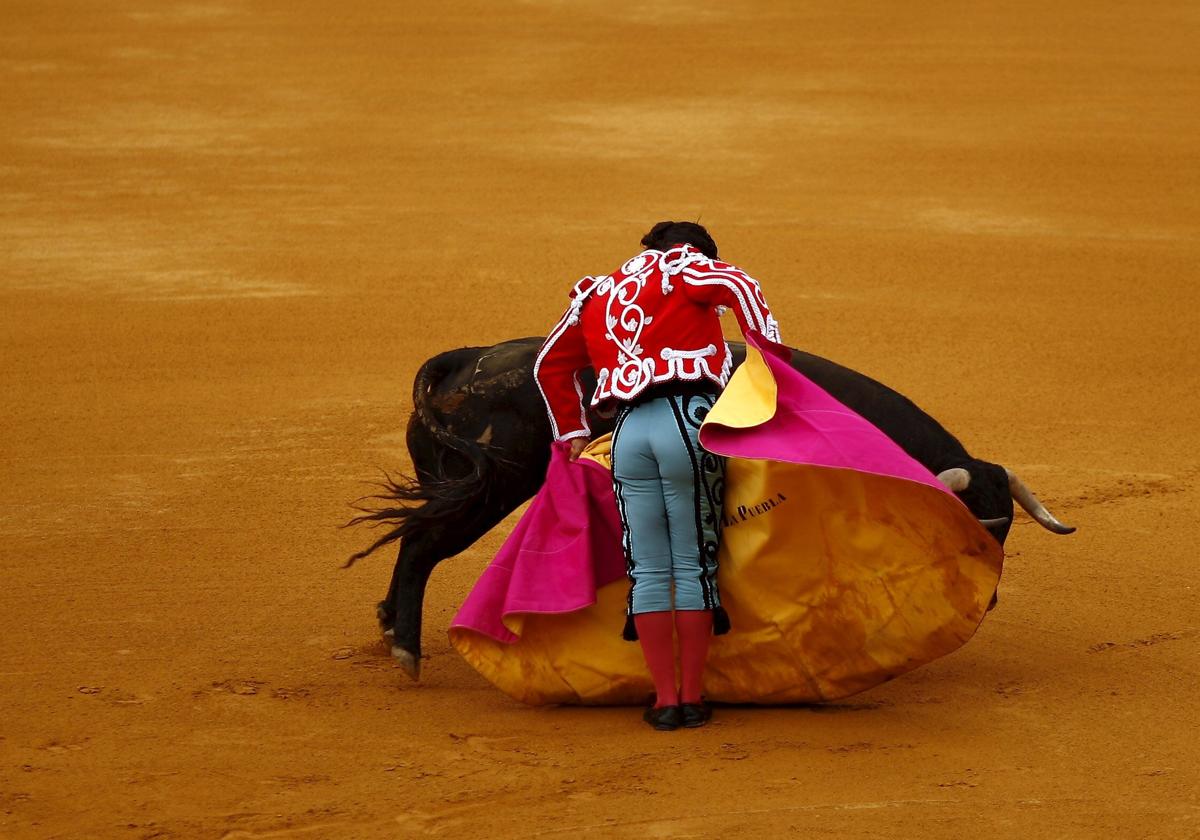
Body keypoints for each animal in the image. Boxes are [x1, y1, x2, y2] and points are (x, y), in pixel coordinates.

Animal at [350, 333, 1080, 676]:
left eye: (1006, 535)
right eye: (963, 529)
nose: (988, 600)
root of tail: (466, 360)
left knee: (414, 543)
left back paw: (389, 630)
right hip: (489, 487)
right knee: (420, 546)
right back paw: (406, 648)